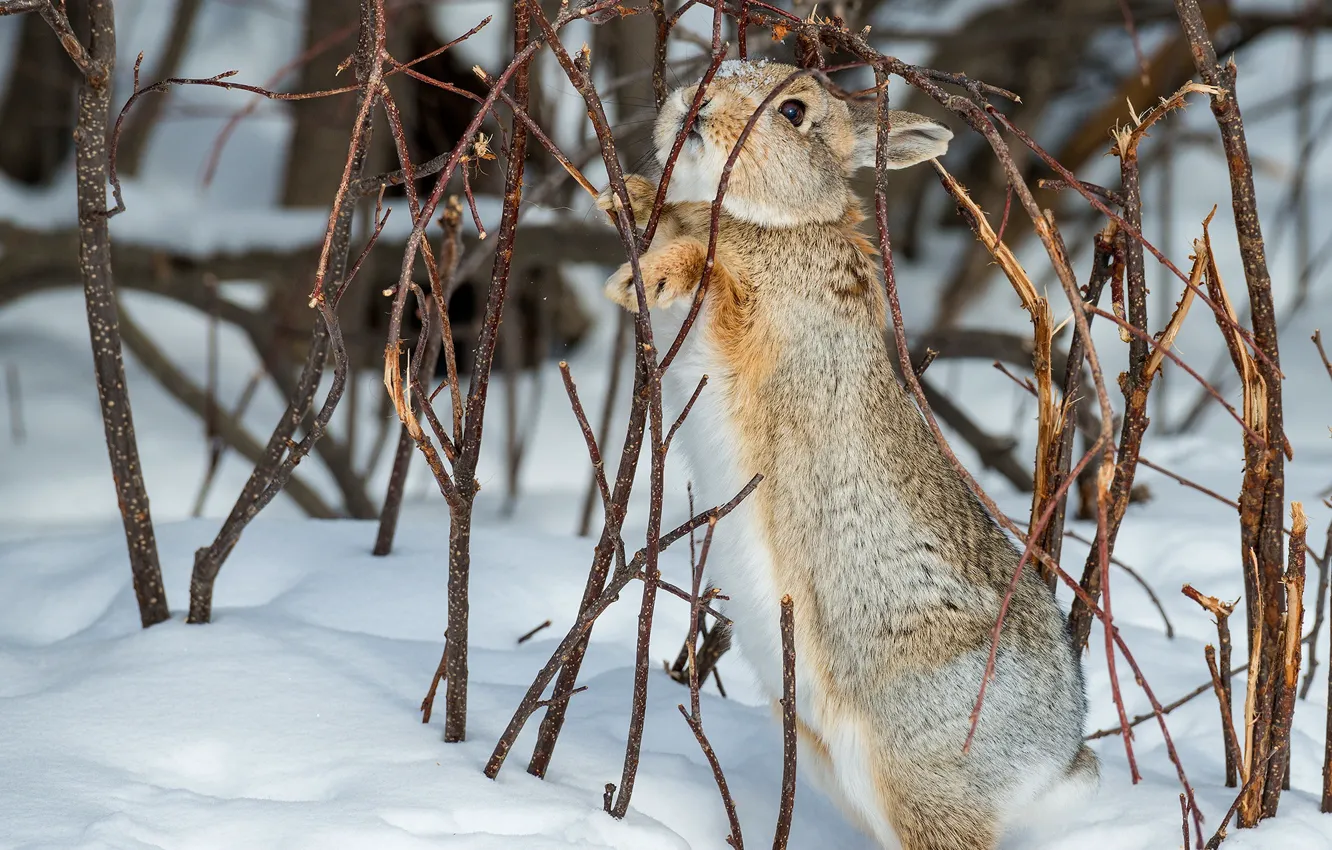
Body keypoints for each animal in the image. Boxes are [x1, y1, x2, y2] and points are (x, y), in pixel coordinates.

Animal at [599, 61, 1097, 850]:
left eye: (794, 112)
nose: (695, 103)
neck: (781, 224)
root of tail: (1056, 764)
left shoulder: (757, 324)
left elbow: (712, 276)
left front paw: (643, 279)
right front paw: (626, 195)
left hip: (917, 776)